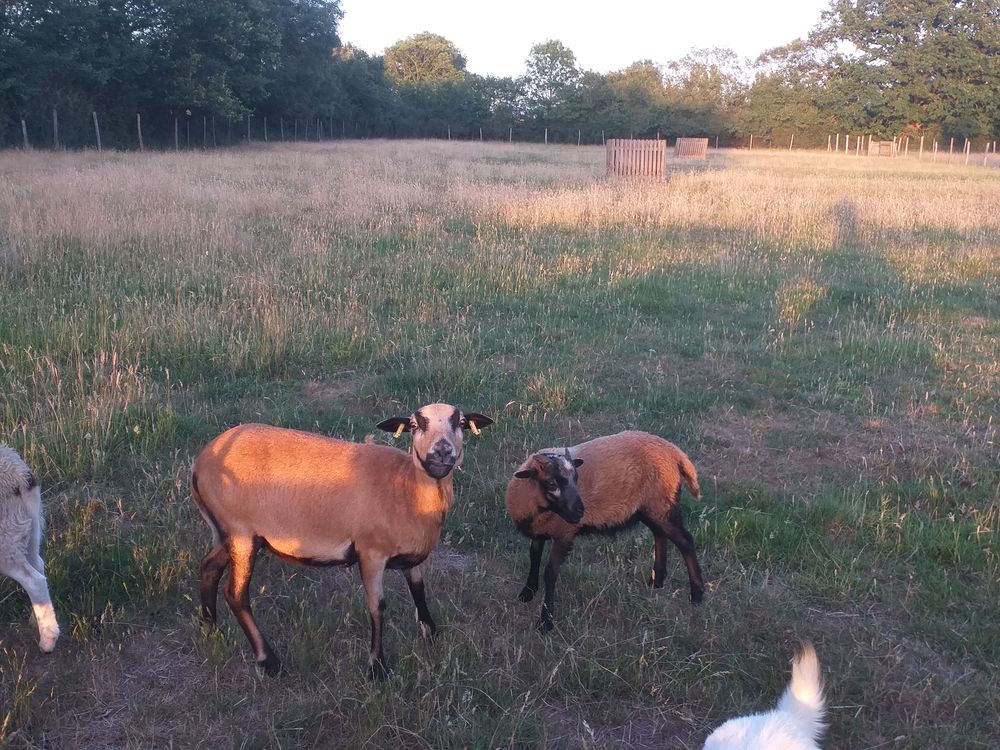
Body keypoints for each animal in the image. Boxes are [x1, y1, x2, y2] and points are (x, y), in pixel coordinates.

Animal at [0, 444, 60, 653]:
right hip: (27, 528)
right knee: (39, 565)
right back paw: (38, 620)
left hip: (5, 540)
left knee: (34, 580)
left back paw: (48, 640)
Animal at [190, 403, 493, 678]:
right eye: (415, 425)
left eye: (461, 423)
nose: (441, 452)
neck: (406, 487)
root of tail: (200, 462)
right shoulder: (370, 553)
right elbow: (377, 606)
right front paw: (377, 667)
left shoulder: (412, 555)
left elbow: (419, 590)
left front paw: (431, 635)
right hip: (241, 532)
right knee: (236, 594)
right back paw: (268, 660)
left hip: (229, 534)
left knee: (209, 566)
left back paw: (210, 629)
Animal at [506, 431, 704, 632]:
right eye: (552, 483)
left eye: (576, 479)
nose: (580, 512)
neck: (538, 508)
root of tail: (675, 453)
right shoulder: (540, 530)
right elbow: (534, 557)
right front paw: (528, 592)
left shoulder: (564, 534)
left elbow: (550, 573)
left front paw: (546, 620)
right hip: (653, 508)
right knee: (660, 534)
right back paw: (656, 581)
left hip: (662, 504)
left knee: (685, 541)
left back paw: (696, 594)